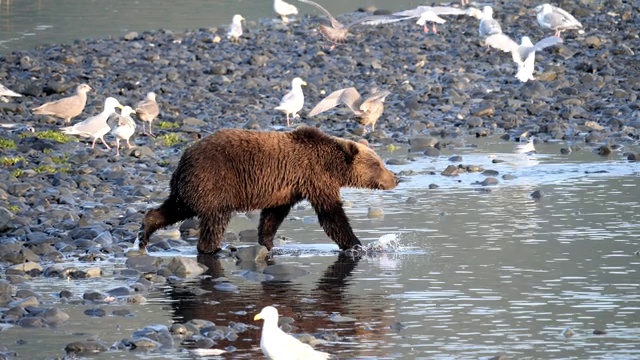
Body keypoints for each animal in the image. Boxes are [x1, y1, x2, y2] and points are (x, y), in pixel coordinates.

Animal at [141, 126, 396, 253]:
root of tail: (183, 159)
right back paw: (212, 248)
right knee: (215, 219)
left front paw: (268, 242)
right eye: (378, 164)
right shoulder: (315, 177)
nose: (395, 178)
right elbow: (331, 214)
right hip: (214, 180)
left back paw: (144, 232)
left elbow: (273, 215)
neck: (332, 165)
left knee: (174, 207)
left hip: (189, 187)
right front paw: (358, 244)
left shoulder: (288, 189)